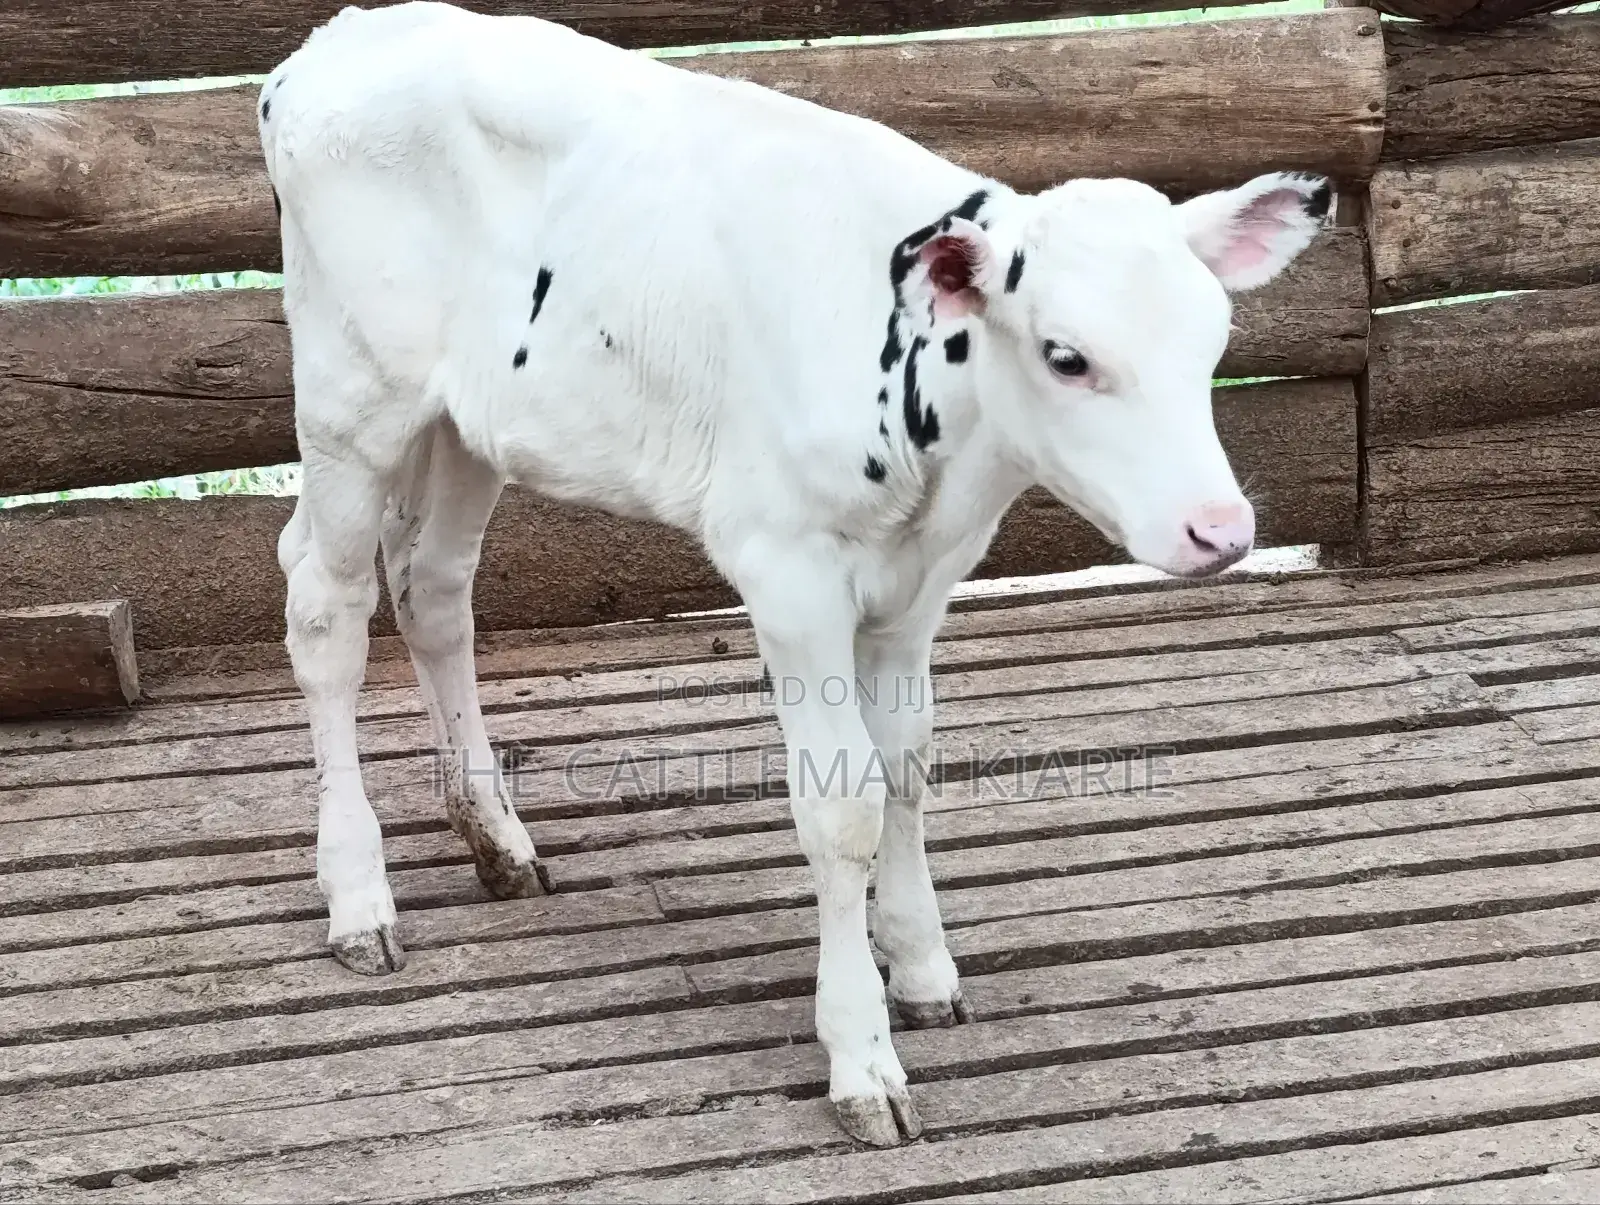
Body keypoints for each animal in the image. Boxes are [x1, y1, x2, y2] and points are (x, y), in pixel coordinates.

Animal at [259, 0, 1330, 1147]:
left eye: (1214, 341)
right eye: (1066, 355)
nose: (1219, 528)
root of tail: (342, 37)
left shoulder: (921, 586)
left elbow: (907, 763)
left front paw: (923, 967)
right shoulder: (789, 573)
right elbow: (842, 803)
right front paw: (863, 1056)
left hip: (470, 419)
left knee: (434, 585)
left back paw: (498, 839)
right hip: (350, 396)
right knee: (326, 607)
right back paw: (358, 896)